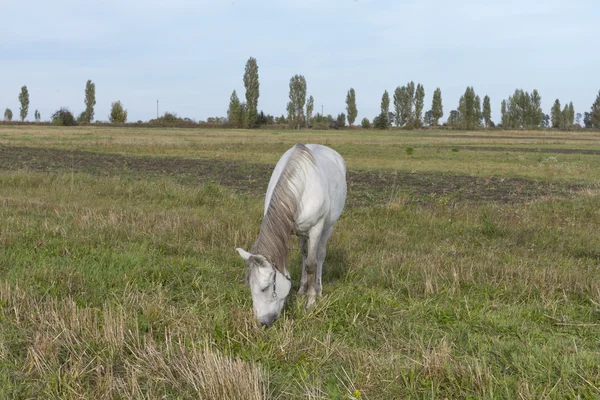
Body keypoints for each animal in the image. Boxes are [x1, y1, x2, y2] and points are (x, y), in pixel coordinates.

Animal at [236, 142, 346, 326]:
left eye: (265, 288)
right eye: (250, 286)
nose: (262, 322)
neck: (300, 186)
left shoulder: (316, 228)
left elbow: (311, 265)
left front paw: (311, 302)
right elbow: (305, 259)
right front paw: (302, 291)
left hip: (327, 228)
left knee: (320, 256)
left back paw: (318, 289)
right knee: (304, 254)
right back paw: (302, 288)